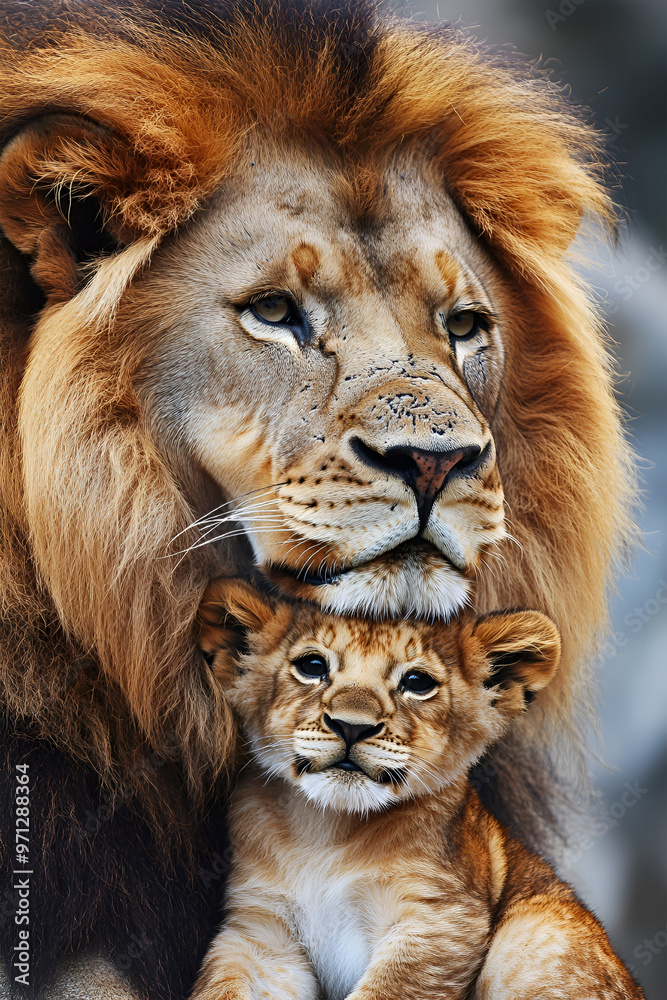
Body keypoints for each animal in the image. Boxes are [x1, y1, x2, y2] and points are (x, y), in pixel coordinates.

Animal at [191, 577, 643, 1000]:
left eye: (417, 681)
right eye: (313, 665)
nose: (351, 726)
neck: (324, 832)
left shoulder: (441, 921)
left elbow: (387, 990)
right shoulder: (261, 932)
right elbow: (226, 985)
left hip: (532, 935)